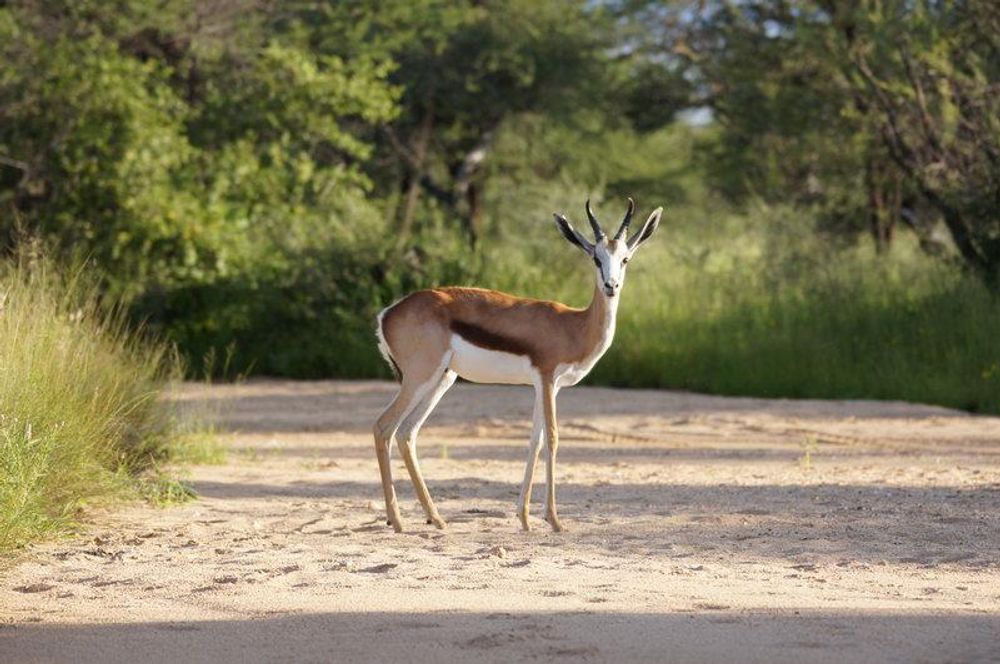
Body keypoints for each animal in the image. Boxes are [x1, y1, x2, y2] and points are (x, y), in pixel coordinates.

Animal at [373, 198, 662, 532]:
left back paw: (436, 517)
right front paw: (554, 520)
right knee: (383, 427)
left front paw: (524, 518)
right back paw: (397, 520)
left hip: (442, 379)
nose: (611, 285)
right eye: (596, 258)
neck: (574, 326)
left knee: (406, 432)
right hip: (419, 378)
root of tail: (388, 313)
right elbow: (553, 438)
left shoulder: (545, 386)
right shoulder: (547, 379)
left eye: (625, 259)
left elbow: (535, 440)